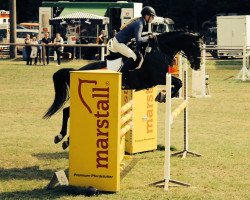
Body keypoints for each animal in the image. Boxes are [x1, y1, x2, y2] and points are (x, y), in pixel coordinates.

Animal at [43, 30, 203, 149]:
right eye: (196, 46)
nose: (197, 66)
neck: (159, 51)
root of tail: (77, 71)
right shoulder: (158, 78)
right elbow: (179, 82)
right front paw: (162, 96)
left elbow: (178, 83)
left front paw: (162, 96)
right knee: (67, 111)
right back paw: (61, 137)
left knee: (67, 110)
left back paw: (64, 139)